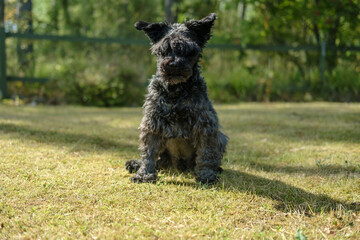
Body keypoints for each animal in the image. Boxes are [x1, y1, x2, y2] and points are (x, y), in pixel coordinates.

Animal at [126, 13, 228, 185]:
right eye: (163, 50)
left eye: (188, 51)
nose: (173, 64)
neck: (175, 91)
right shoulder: (153, 123)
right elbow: (148, 152)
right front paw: (144, 175)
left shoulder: (205, 125)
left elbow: (206, 152)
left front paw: (206, 175)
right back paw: (135, 163)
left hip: (221, 138)